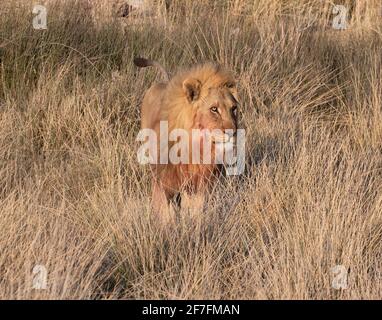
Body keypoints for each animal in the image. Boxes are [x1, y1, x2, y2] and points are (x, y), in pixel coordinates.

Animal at [135, 57, 239, 221]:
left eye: (233, 108)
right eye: (214, 109)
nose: (233, 132)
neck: (195, 145)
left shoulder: (200, 181)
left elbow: (195, 208)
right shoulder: (165, 176)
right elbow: (164, 207)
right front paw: (165, 222)